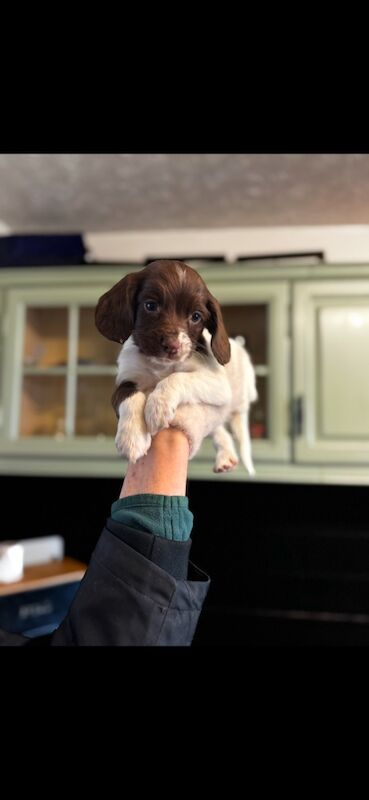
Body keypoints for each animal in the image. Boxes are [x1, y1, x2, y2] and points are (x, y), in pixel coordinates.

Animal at [94, 260, 256, 472]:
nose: (173, 346)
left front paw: (158, 406)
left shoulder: (217, 384)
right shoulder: (127, 377)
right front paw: (131, 436)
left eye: (196, 317)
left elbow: (177, 377)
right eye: (150, 305)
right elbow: (128, 395)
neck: (160, 365)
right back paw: (225, 456)